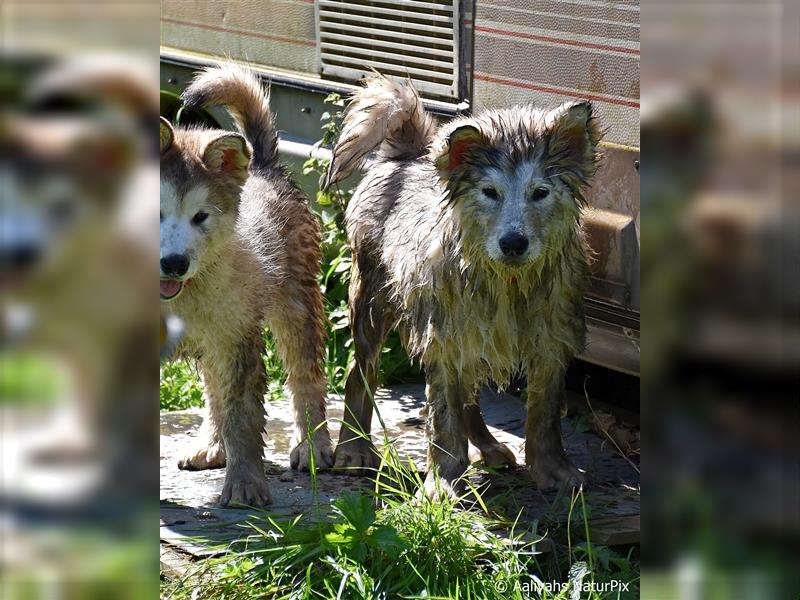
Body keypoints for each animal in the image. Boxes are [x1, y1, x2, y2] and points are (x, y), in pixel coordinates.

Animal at [162, 67, 332, 506]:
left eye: (201, 216)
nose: (174, 264)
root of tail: (263, 165)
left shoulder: (239, 340)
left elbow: (243, 417)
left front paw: (243, 485)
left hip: (295, 305)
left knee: (305, 378)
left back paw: (313, 446)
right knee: (213, 392)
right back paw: (210, 445)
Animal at [324, 75, 600, 496]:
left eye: (540, 193)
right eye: (490, 193)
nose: (513, 243)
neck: (507, 283)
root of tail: (408, 157)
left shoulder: (550, 342)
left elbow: (544, 416)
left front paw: (554, 470)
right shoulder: (442, 339)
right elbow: (444, 418)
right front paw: (442, 480)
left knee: (469, 396)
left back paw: (488, 449)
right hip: (372, 297)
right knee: (361, 371)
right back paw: (353, 449)